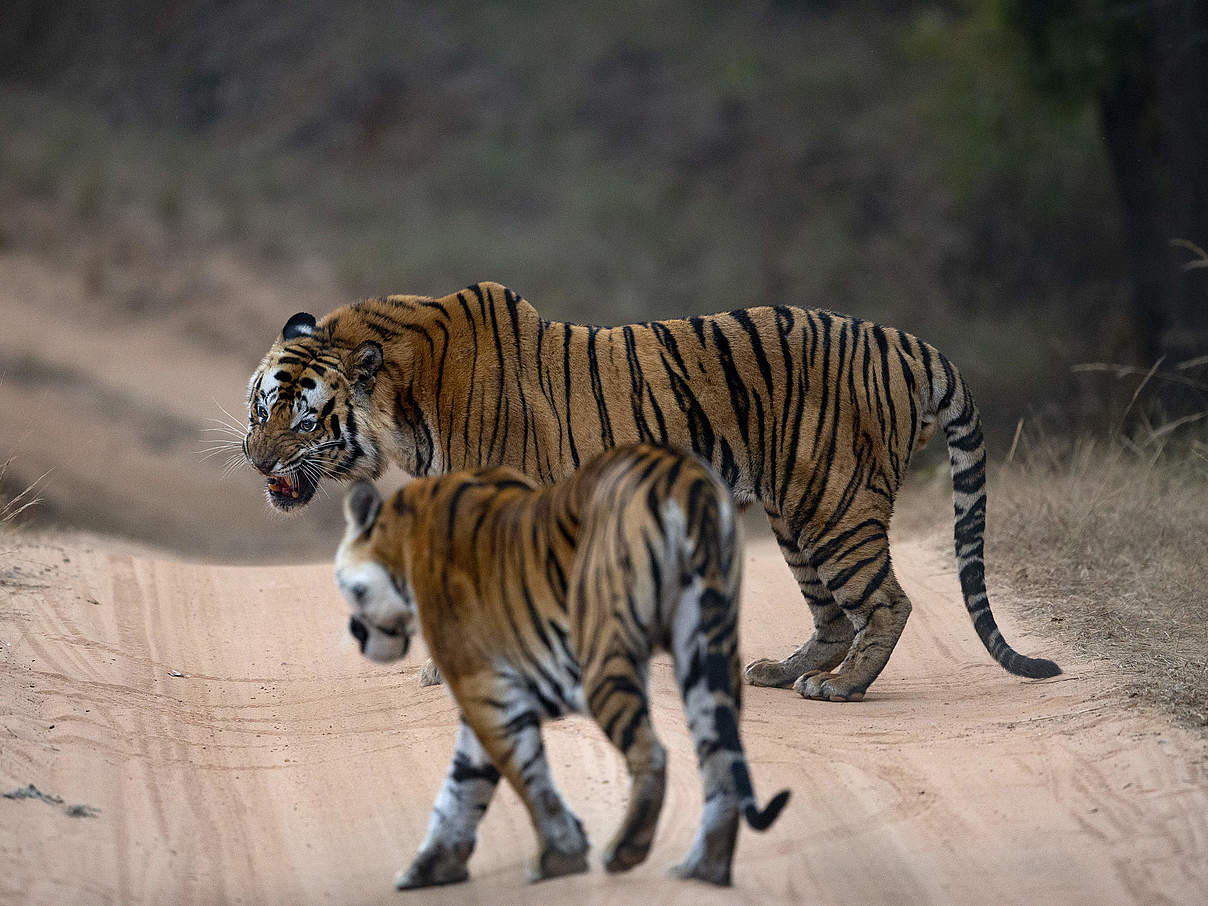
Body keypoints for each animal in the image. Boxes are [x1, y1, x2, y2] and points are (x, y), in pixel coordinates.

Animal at [245, 282, 1058, 700]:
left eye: (304, 417)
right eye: (260, 408)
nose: (254, 459)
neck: (408, 401)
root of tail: (900, 339)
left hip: (834, 506)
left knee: (888, 601)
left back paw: (842, 686)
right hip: (796, 516)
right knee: (832, 613)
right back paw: (782, 672)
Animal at [338, 444, 792, 889]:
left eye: (350, 589)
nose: (356, 633)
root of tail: (683, 478)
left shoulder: (481, 684)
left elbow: (523, 774)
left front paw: (559, 856)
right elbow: (464, 782)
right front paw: (433, 867)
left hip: (605, 652)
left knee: (652, 752)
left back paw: (625, 851)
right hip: (707, 647)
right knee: (720, 761)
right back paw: (703, 869)